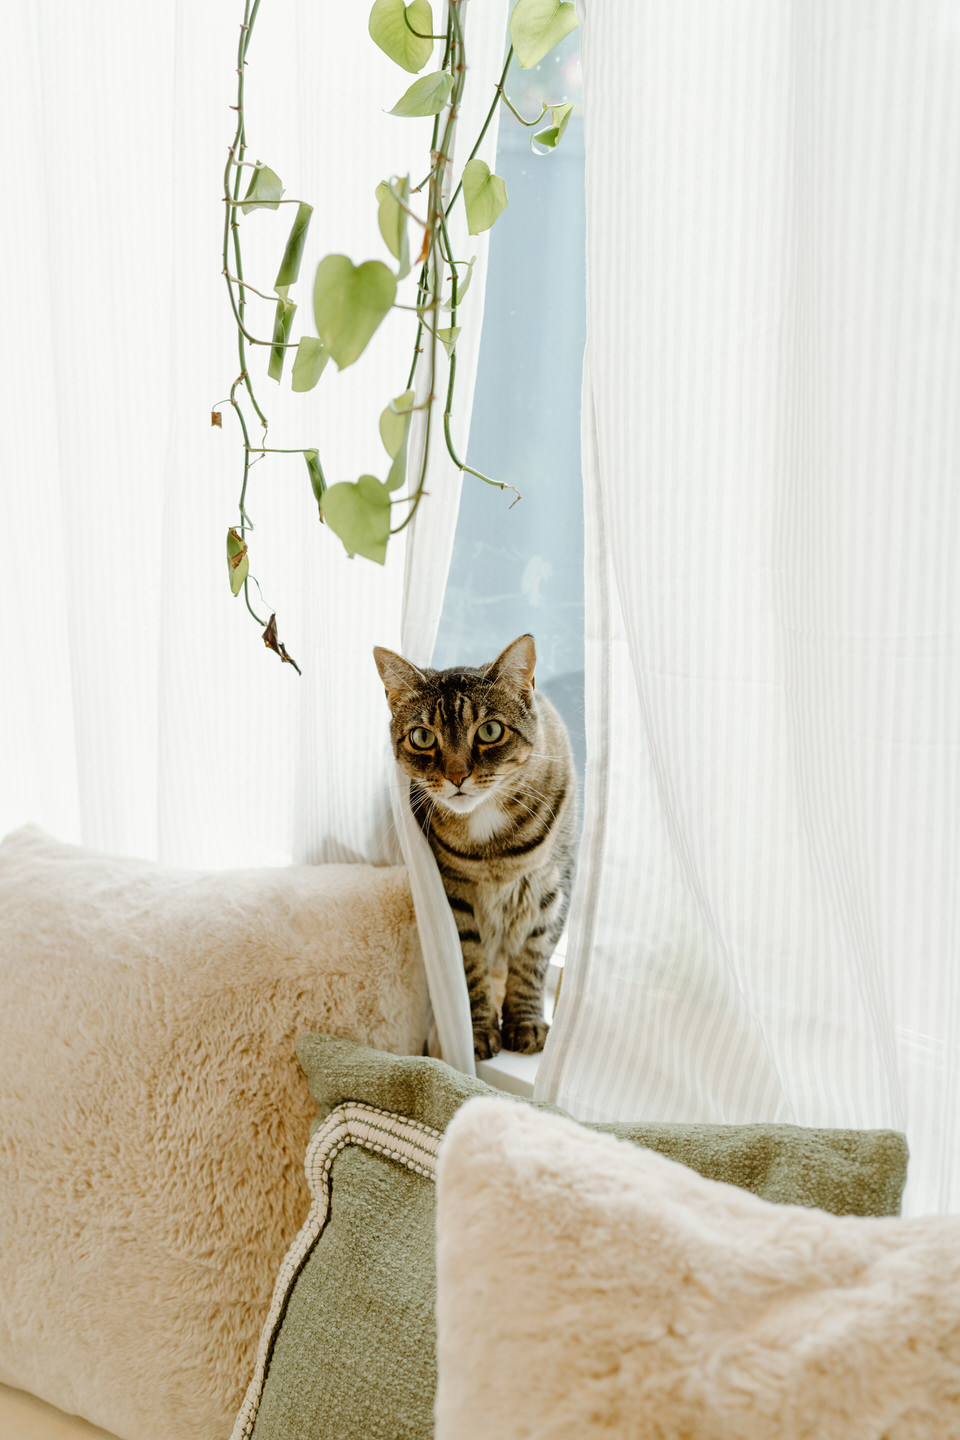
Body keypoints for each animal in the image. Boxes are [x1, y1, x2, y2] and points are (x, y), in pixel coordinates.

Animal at [371, 636, 575, 1065]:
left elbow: (533, 958)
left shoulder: (554, 887)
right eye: (422, 737)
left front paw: (525, 1022)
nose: (456, 776)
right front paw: (480, 1030)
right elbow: (470, 965)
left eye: (490, 730)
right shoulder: (454, 896)